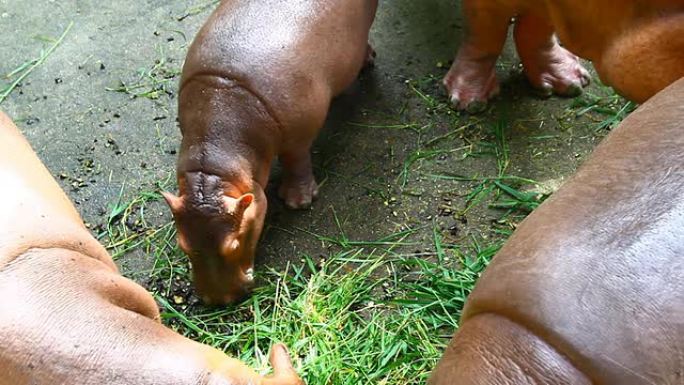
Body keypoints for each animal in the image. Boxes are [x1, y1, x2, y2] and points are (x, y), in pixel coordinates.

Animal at [165, 0, 380, 304]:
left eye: (234, 245)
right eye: (182, 244)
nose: (218, 300)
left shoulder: (298, 135)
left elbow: (297, 161)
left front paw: (297, 202)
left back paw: (368, 62)